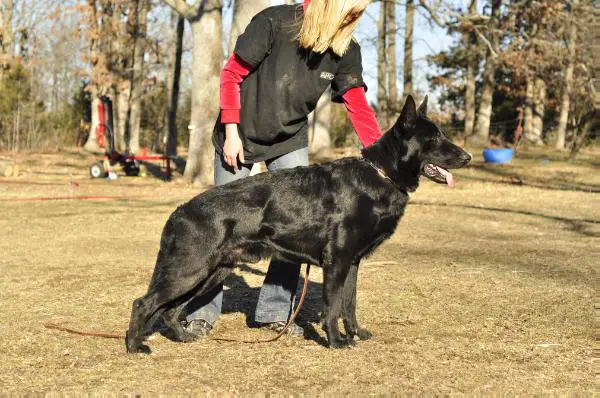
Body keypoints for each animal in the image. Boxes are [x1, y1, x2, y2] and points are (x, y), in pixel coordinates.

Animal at [126, 95, 472, 352]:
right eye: (434, 137)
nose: (468, 157)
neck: (380, 174)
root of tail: (179, 212)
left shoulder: (353, 263)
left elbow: (350, 304)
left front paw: (355, 334)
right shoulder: (337, 262)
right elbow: (332, 307)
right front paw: (336, 342)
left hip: (211, 273)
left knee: (170, 310)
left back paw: (184, 338)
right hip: (191, 271)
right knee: (144, 303)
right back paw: (134, 346)